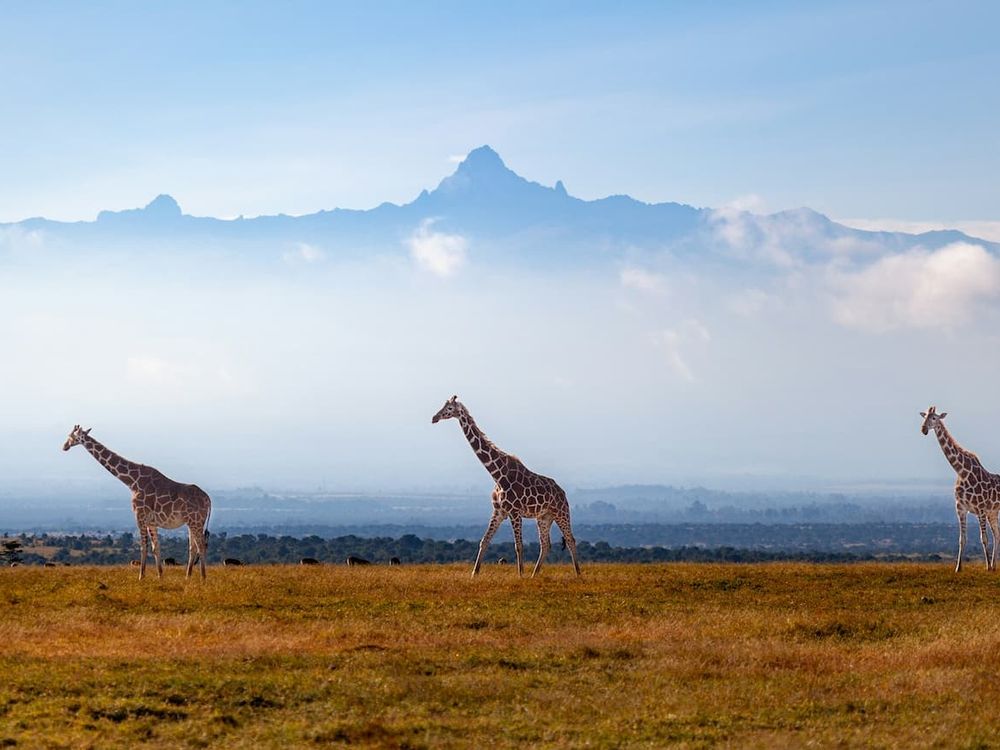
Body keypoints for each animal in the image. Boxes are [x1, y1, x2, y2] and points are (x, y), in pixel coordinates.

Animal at [62, 425, 211, 580]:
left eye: (71, 436)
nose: (64, 446)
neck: (132, 482)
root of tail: (208, 499)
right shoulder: (152, 522)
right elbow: (155, 547)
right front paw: (160, 576)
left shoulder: (139, 515)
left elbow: (143, 546)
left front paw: (141, 576)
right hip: (191, 522)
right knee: (193, 547)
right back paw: (188, 577)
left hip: (196, 521)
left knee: (201, 546)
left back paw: (203, 578)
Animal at [432, 395, 581, 578]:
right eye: (443, 405)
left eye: (449, 408)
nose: (434, 418)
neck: (497, 474)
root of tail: (563, 492)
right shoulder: (498, 511)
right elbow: (484, 541)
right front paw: (474, 574)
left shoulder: (514, 512)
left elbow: (518, 546)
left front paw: (520, 575)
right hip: (544, 517)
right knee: (545, 545)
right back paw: (534, 575)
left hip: (561, 512)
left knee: (570, 539)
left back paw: (578, 574)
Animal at [920, 407, 1000, 572]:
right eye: (924, 417)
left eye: (934, 418)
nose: (923, 429)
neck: (961, 471)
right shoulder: (961, 508)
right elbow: (962, 539)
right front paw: (958, 568)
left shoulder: (980, 508)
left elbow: (983, 538)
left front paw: (987, 567)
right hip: (993, 512)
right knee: (997, 534)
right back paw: (995, 565)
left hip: (990, 511)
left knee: (995, 535)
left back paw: (992, 566)